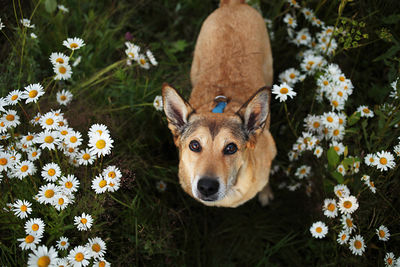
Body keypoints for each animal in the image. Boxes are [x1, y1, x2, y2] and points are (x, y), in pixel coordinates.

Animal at [161, 0, 276, 209]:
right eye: (194, 145)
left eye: (231, 148)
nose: (207, 186)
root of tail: (233, 4)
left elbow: (265, 181)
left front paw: (265, 193)